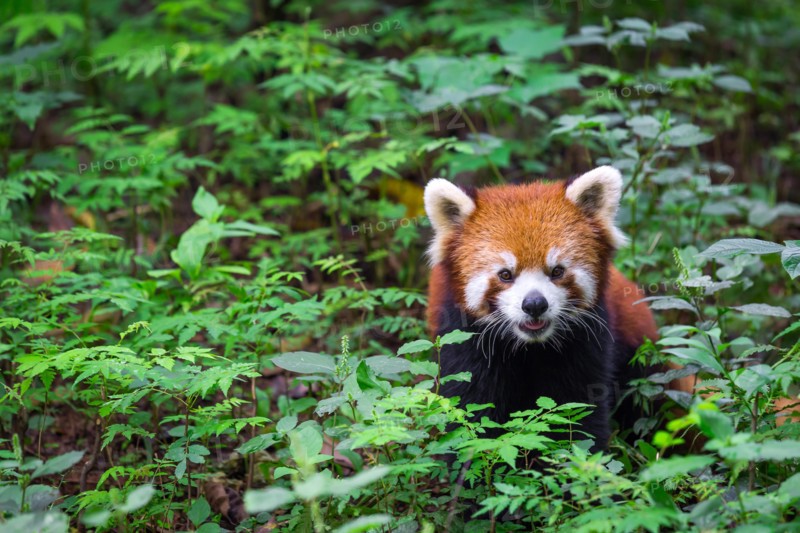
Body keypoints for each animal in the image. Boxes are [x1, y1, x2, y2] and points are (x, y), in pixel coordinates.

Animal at [424, 166, 657, 448]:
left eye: (557, 271)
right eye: (505, 274)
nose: (534, 304)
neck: (529, 348)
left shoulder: (587, 342)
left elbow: (578, 410)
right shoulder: (463, 342)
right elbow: (470, 412)